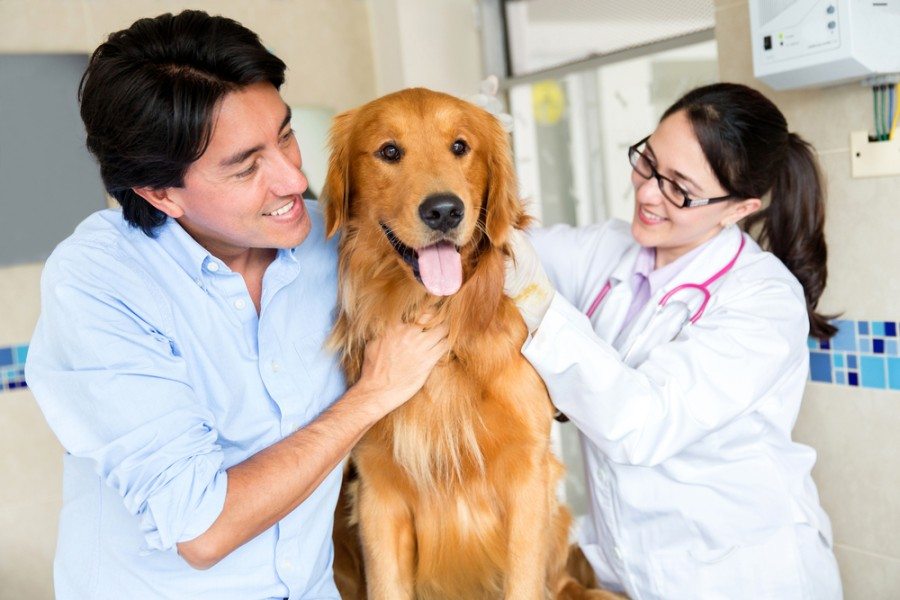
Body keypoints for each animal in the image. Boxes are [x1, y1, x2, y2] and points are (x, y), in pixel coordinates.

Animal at [324, 89, 624, 600]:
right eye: (389, 151)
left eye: (460, 147)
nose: (444, 210)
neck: (441, 321)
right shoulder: (377, 492)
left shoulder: (528, 477)